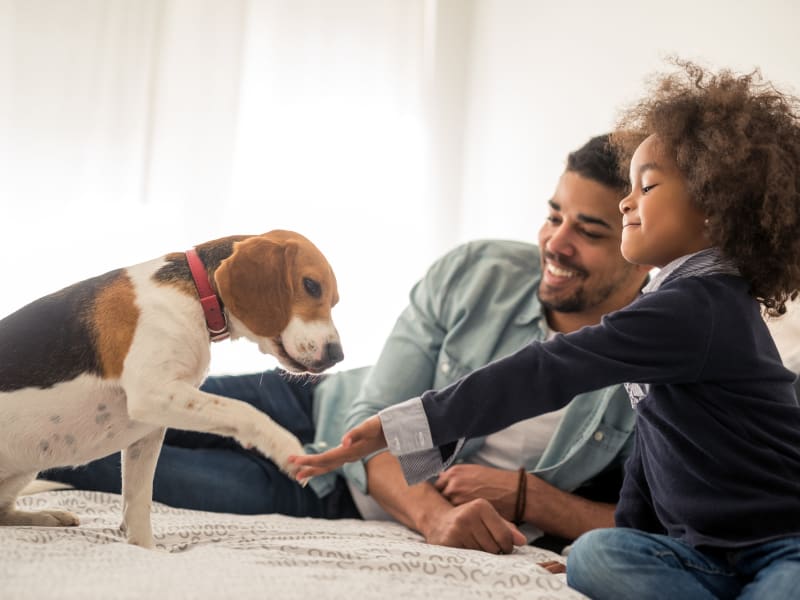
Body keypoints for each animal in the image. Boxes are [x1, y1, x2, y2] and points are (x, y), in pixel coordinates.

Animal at [0, 230, 340, 548]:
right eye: (311, 285)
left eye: (334, 301)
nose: (338, 355)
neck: (197, 295)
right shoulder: (152, 393)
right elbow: (243, 410)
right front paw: (284, 446)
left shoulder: (149, 428)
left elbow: (138, 501)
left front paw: (144, 549)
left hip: (28, 468)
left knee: (4, 514)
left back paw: (50, 516)